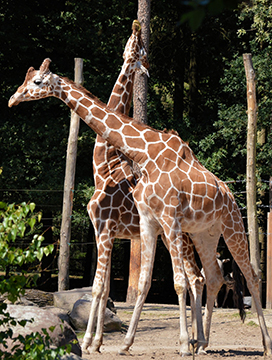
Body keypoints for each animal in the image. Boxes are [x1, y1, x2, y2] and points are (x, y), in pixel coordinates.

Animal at [8, 57, 272, 356]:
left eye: (37, 81)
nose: (13, 99)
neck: (142, 156)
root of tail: (230, 194)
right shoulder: (147, 222)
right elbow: (141, 281)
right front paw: (123, 343)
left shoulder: (157, 220)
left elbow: (171, 282)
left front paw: (181, 344)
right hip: (204, 234)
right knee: (212, 277)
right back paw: (202, 343)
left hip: (230, 227)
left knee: (248, 276)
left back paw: (261, 345)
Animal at [88, 19, 204, 352]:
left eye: (139, 45)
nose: (136, 25)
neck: (104, 166)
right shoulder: (107, 233)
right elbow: (104, 289)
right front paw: (98, 341)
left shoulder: (106, 229)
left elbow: (99, 288)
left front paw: (91, 341)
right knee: (197, 277)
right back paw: (196, 340)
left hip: (178, 235)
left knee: (196, 277)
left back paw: (197, 341)